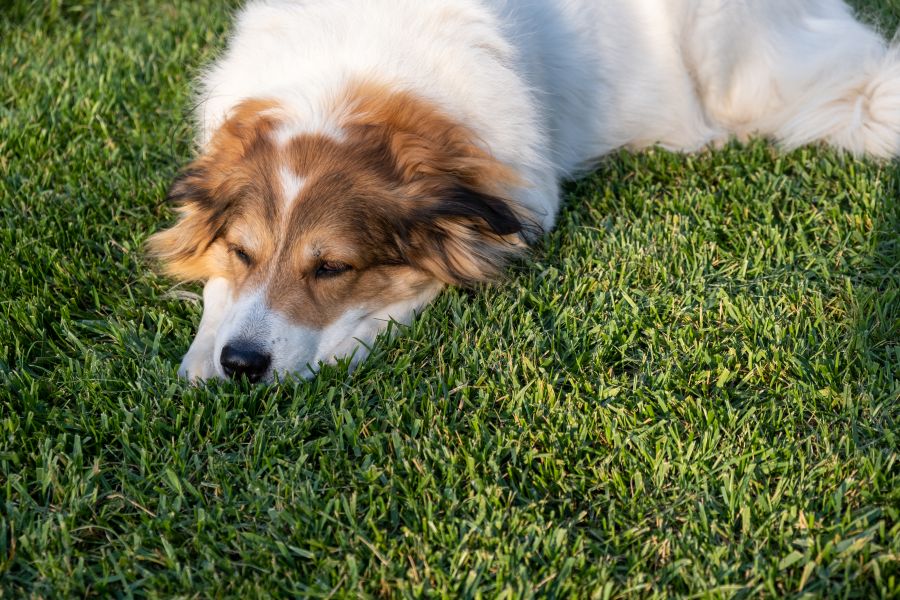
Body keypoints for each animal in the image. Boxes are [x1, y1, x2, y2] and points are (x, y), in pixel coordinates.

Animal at [149, 0, 900, 382]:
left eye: (332, 268)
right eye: (243, 254)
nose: (243, 364)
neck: (348, 67)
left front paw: (338, 344)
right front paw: (205, 350)